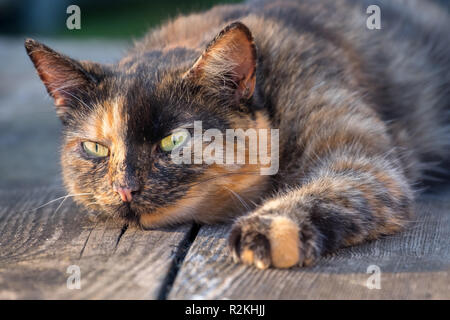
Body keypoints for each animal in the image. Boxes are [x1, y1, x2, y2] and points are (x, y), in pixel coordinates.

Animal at [26, 0, 448, 270]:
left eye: (175, 140)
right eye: (95, 148)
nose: (125, 189)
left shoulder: (362, 160)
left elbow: (336, 186)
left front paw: (269, 228)